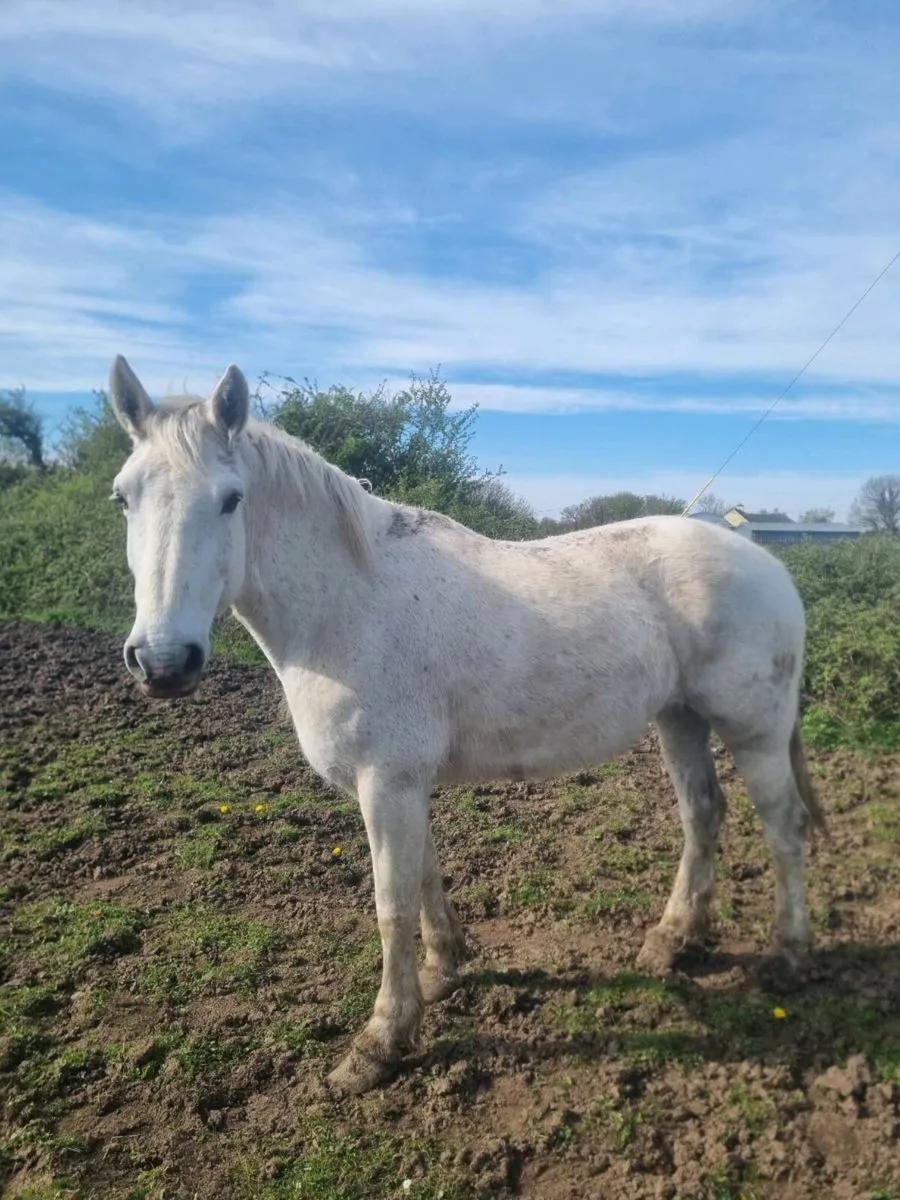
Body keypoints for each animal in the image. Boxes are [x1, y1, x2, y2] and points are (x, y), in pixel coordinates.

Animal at [108, 355, 827, 1095]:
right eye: (122, 497)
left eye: (230, 499)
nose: (163, 661)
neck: (348, 606)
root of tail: (756, 554)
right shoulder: (402, 783)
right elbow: (424, 878)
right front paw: (444, 970)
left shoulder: (387, 782)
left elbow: (391, 905)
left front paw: (380, 1042)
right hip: (679, 718)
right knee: (702, 815)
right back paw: (674, 939)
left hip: (755, 726)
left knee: (784, 827)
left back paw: (787, 956)